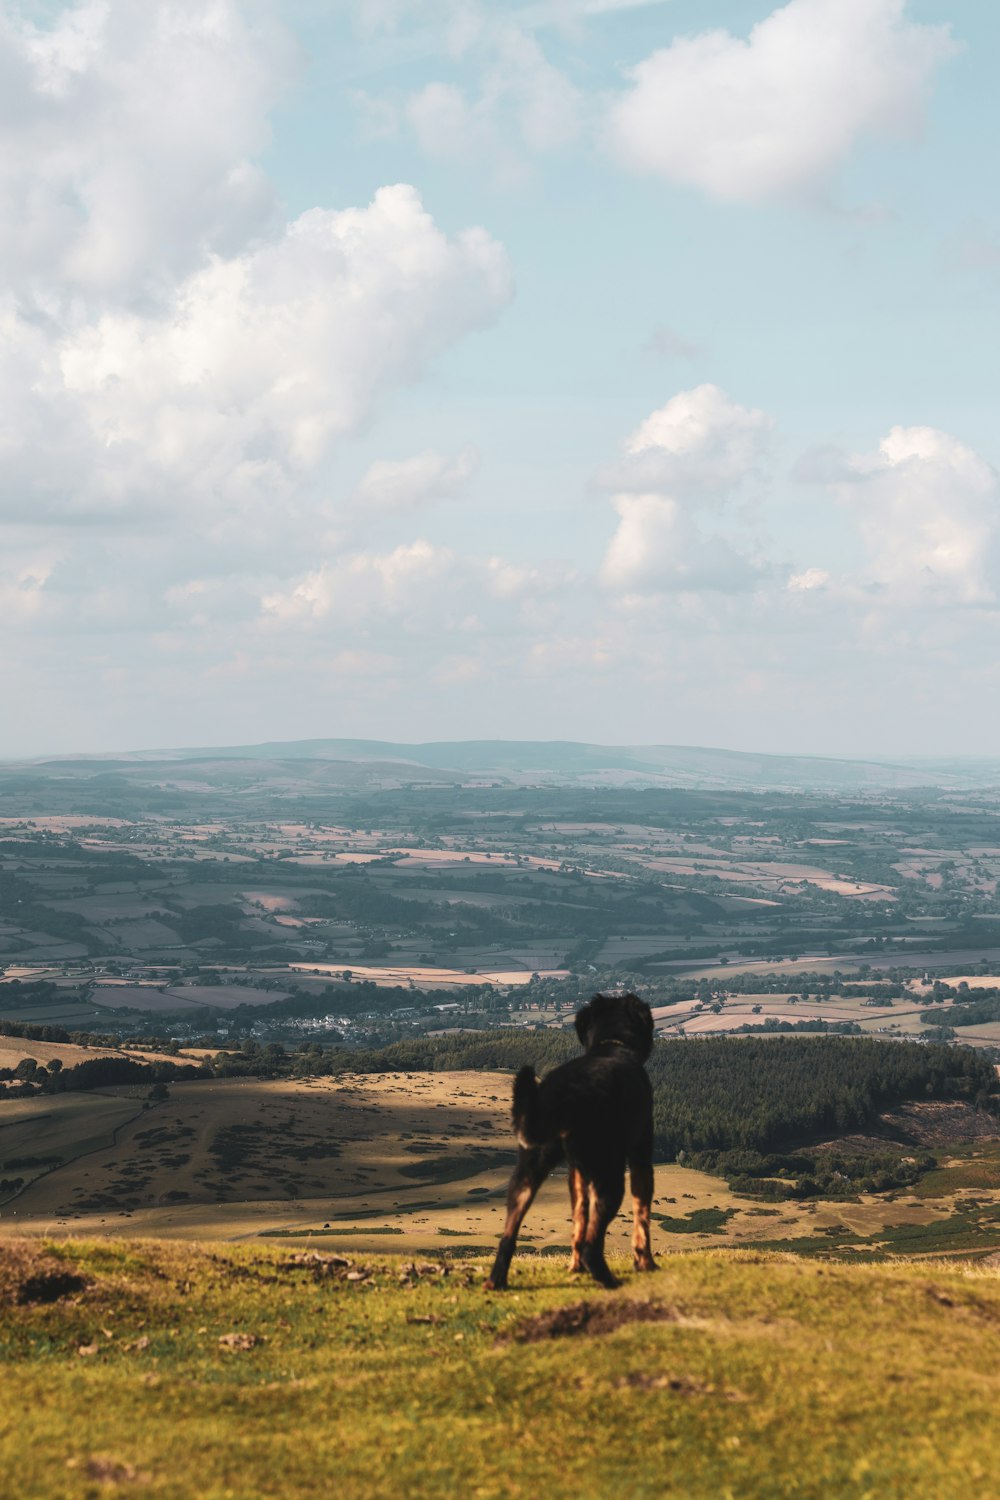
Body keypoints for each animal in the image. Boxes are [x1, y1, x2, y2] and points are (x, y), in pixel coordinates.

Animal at [485, 990, 656, 1296]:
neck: (611, 1045)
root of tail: (566, 1094)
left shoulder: (576, 1173)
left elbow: (579, 1218)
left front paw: (574, 1268)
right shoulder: (640, 1157)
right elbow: (642, 1215)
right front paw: (645, 1263)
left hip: (527, 1172)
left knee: (508, 1236)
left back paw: (497, 1281)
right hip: (609, 1176)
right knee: (591, 1243)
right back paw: (608, 1280)